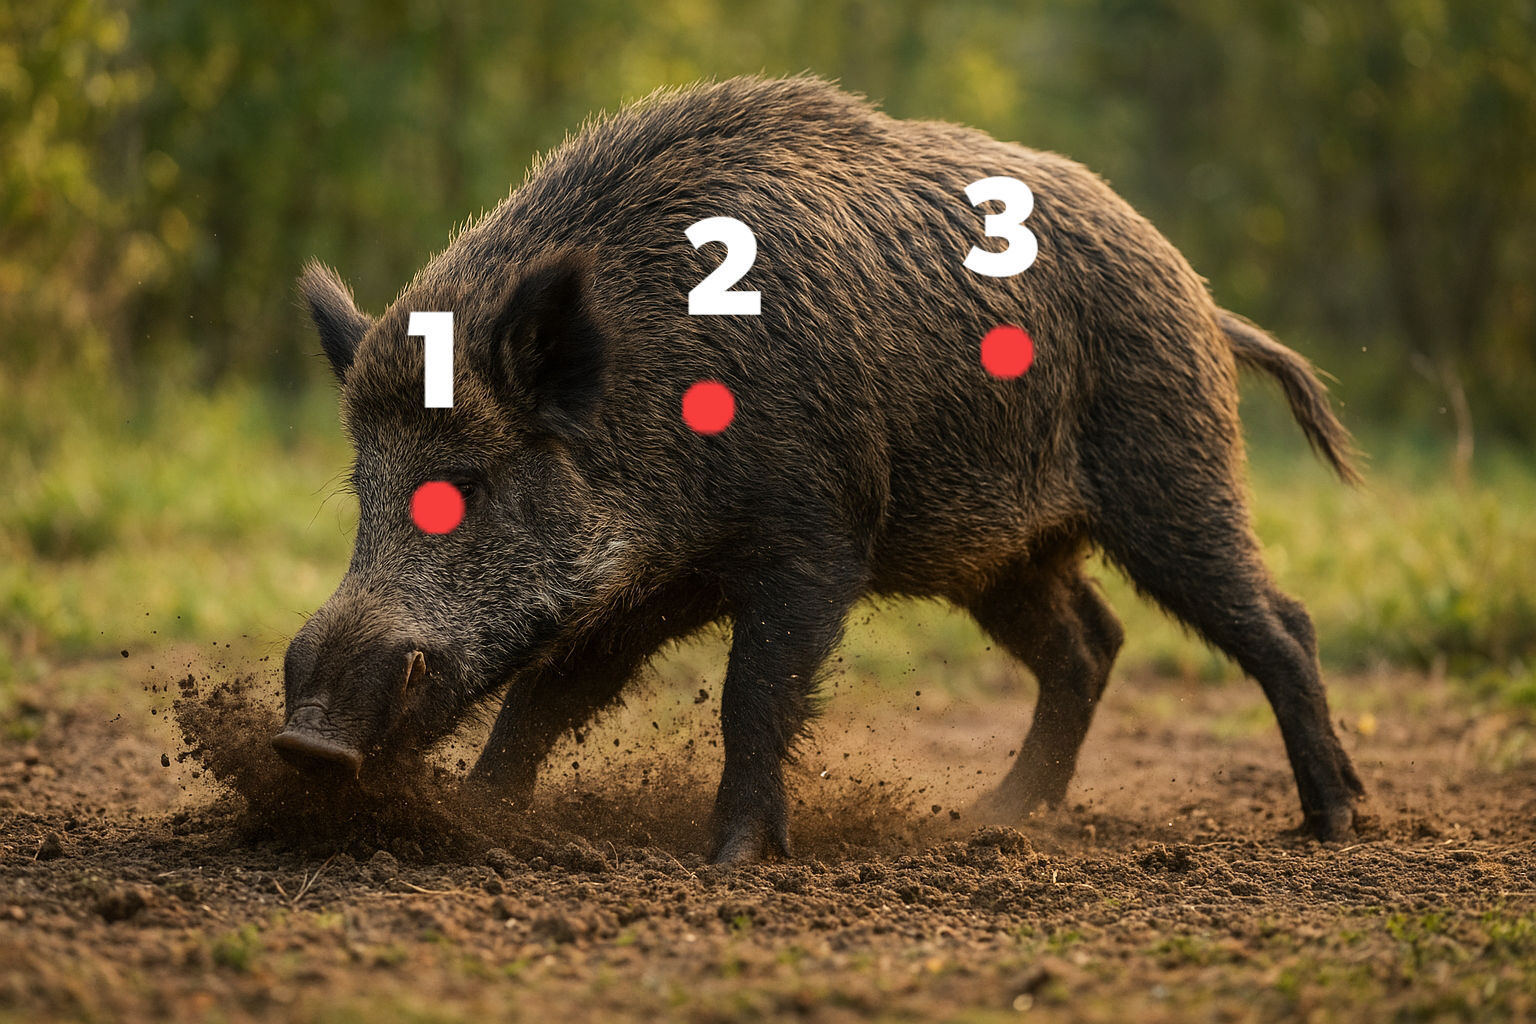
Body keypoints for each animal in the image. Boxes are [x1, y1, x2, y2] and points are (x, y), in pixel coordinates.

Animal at [274, 75, 1365, 862]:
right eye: (365, 490)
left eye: (469, 482)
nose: (306, 741)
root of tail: (1199, 293)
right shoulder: (648, 582)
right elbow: (549, 695)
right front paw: (482, 816)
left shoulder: (816, 532)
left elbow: (754, 692)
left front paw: (734, 860)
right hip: (1000, 550)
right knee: (1089, 643)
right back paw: (999, 817)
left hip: (1172, 473)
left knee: (1278, 622)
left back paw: (1334, 822)